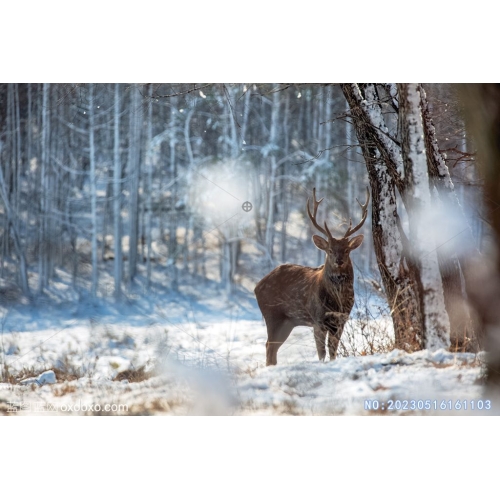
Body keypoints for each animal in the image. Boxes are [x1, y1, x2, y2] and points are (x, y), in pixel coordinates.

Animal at [256, 186, 370, 366]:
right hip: (272, 314)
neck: (337, 302)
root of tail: (256, 287)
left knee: (272, 348)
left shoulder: (341, 320)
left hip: (288, 322)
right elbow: (321, 353)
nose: (338, 261)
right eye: (330, 250)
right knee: (269, 346)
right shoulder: (317, 319)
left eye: (346, 250)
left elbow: (333, 352)